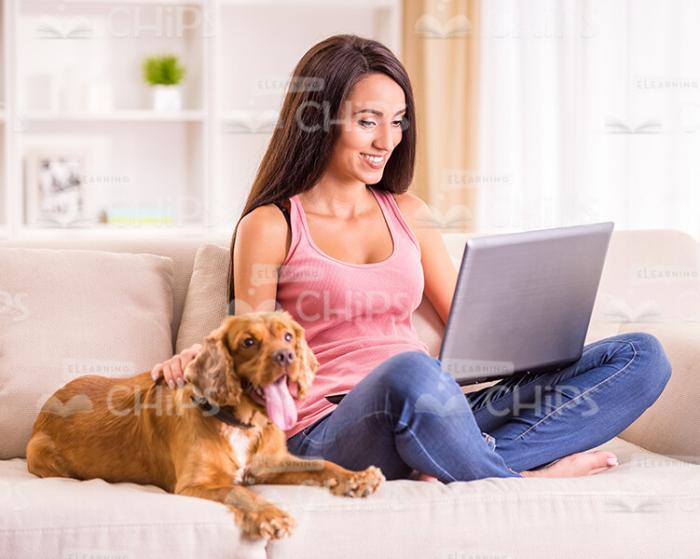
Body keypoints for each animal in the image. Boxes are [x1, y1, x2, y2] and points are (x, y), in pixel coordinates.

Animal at [27, 312, 386, 540]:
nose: (287, 355)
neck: (241, 423)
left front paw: (356, 477)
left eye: (287, 335)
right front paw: (271, 515)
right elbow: (239, 491)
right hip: (42, 456)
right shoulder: (195, 484)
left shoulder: (269, 464)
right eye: (248, 342)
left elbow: (321, 463)